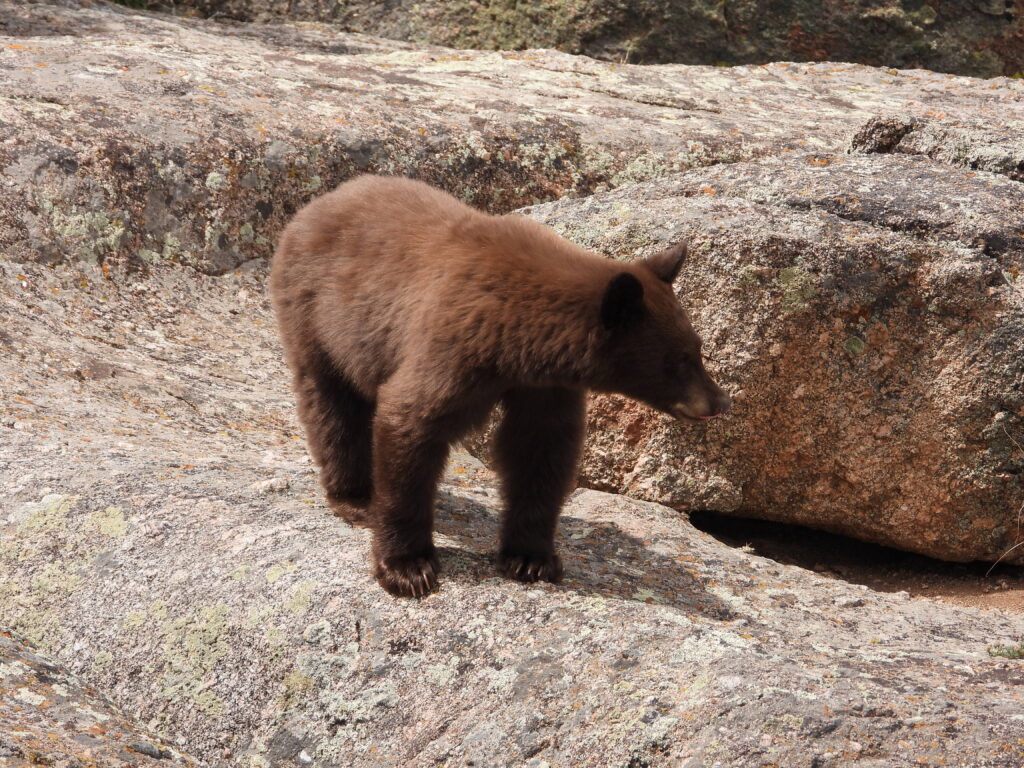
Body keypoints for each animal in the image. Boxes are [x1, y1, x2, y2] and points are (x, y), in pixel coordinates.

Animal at [268, 176, 724, 602]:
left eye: (699, 348)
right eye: (680, 358)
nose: (720, 401)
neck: (520, 337)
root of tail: (319, 202)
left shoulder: (543, 385)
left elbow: (540, 450)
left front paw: (531, 557)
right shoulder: (454, 345)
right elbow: (410, 422)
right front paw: (407, 567)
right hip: (314, 316)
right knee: (331, 406)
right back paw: (356, 499)